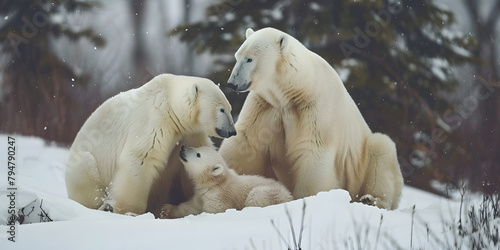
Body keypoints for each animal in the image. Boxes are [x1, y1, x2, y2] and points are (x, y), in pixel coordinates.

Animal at [66, 73, 236, 215]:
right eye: (222, 109)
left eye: (230, 108)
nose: (232, 131)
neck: (170, 103)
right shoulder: (153, 118)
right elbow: (142, 157)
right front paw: (128, 210)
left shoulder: (189, 132)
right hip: (82, 165)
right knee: (86, 171)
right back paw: (102, 205)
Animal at [160, 146, 292, 218]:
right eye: (199, 147)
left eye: (198, 154)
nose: (183, 148)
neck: (215, 183)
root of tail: (289, 195)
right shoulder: (201, 194)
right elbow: (191, 206)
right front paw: (166, 210)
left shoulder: (218, 196)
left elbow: (214, 210)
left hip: (270, 193)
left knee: (256, 195)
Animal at [219, 27, 402, 210]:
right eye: (237, 56)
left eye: (249, 59)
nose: (232, 83)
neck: (294, 90)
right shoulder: (265, 105)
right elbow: (245, 142)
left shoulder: (314, 106)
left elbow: (313, 148)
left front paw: (307, 199)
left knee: (381, 148)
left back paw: (370, 199)